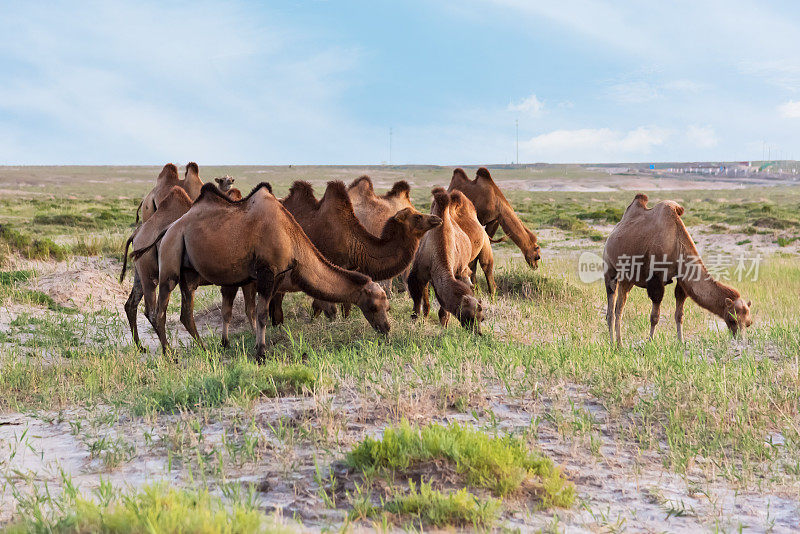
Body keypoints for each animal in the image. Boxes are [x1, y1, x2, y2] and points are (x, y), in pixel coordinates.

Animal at [122, 187, 256, 352]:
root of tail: (136, 234)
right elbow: (249, 310)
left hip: (140, 272)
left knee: (132, 304)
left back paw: (141, 347)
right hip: (152, 276)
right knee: (153, 311)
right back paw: (171, 351)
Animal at [138, 182, 394, 362]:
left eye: (387, 306)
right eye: (374, 306)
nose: (386, 329)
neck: (292, 238)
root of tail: (167, 229)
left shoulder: (276, 276)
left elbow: (262, 313)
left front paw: (256, 347)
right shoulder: (266, 274)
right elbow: (261, 314)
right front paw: (261, 354)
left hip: (189, 272)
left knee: (186, 313)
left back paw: (204, 350)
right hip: (170, 261)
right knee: (159, 311)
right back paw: (169, 355)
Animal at [272, 180, 440, 324]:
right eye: (418, 216)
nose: (437, 218)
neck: (352, 242)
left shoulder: (350, 270)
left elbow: (344, 306)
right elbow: (326, 306)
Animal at [410, 187, 484, 330]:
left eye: (482, 318)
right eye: (470, 316)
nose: (476, 331)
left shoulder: (456, 271)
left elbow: (443, 310)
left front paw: (444, 326)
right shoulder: (419, 273)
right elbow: (418, 301)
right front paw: (416, 322)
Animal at [604, 196, 752, 344]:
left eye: (749, 323)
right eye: (732, 320)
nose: (741, 340)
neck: (675, 243)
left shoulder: (682, 279)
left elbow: (679, 314)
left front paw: (681, 342)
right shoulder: (656, 279)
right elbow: (654, 317)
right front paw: (650, 342)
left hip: (627, 279)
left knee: (618, 307)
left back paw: (618, 343)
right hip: (610, 269)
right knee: (613, 308)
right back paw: (615, 343)